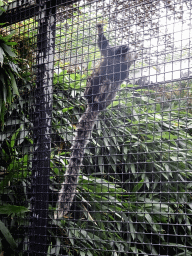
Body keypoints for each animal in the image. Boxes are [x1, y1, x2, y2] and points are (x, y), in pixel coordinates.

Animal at [54, 24, 137, 219]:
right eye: (128, 48)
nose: (129, 50)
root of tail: (94, 107)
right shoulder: (111, 55)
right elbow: (104, 46)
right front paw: (100, 29)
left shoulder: (124, 71)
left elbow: (117, 80)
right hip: (91, 87)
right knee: (96, 80)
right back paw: (90, 95)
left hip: (104, 99)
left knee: (107, 86)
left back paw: (99, 100)